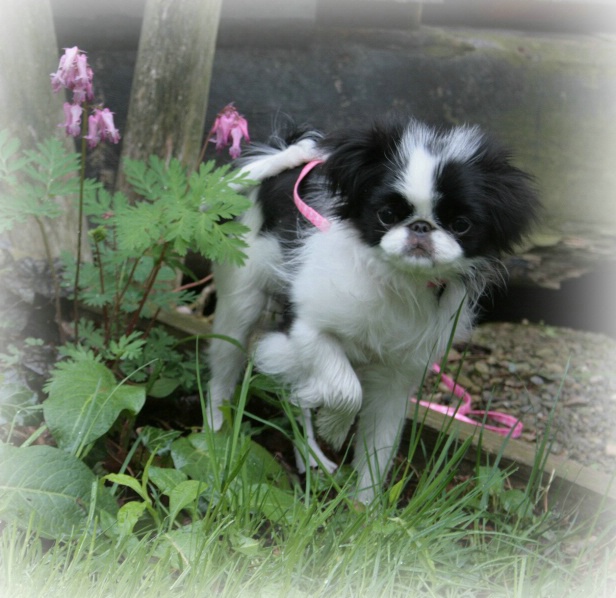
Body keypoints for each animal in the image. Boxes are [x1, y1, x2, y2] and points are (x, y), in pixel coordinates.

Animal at [205, 116, 536, 502]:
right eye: (387, 215)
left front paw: (365, 508)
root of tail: (282, 156)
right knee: (225, 369)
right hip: (241, 304)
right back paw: (216, 431)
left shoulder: (396, 380)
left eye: (461, 224)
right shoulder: (304, 328)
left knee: (295, 396)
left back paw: (310, 457)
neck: (398, 281)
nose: (421, 227)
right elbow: (346, 389)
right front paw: (334, 427)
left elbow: (379, 448)